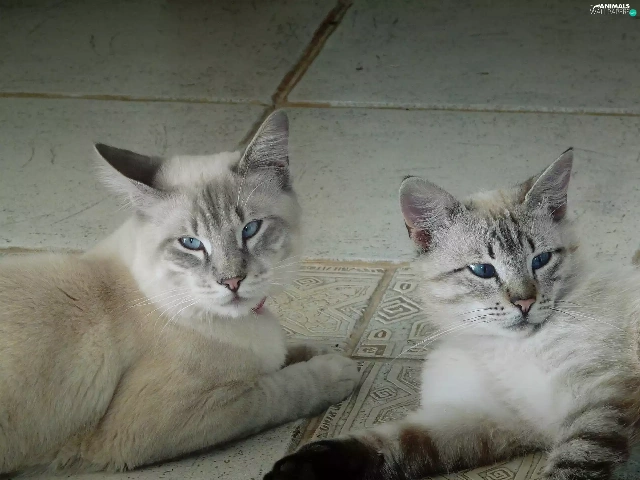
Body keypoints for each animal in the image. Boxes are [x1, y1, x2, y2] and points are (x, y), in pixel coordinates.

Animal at [0, 110, 359, 475]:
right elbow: (275, 390)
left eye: (250, 230)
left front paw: (329, 354)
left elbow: (290, 351)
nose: (232, 281)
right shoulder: (175, 416)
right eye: (191, 243)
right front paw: (338, 371)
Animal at [265, 148, 640, 480]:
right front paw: (293, 470)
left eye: (541, 260)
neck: (502, 348)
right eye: (482, 270)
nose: (525, 303)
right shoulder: (490, 420)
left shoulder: (598, 399)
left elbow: (575, 464)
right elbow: (394, 445)